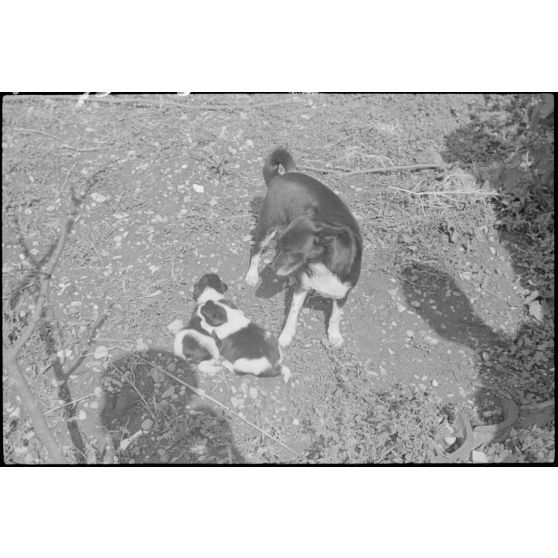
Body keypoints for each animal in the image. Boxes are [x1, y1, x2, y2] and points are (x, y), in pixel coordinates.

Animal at [245, 149, 364, 350]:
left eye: (293, 253)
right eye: (279, 247)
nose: (271, 269)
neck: (322, 264)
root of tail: (282, 176)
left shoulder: (342, 294)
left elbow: (335, 317)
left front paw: (334, 336)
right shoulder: (301, 287)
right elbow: (292, 315)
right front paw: (285, 337)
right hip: (267, 227)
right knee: (255, 250)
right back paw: (252, 275)